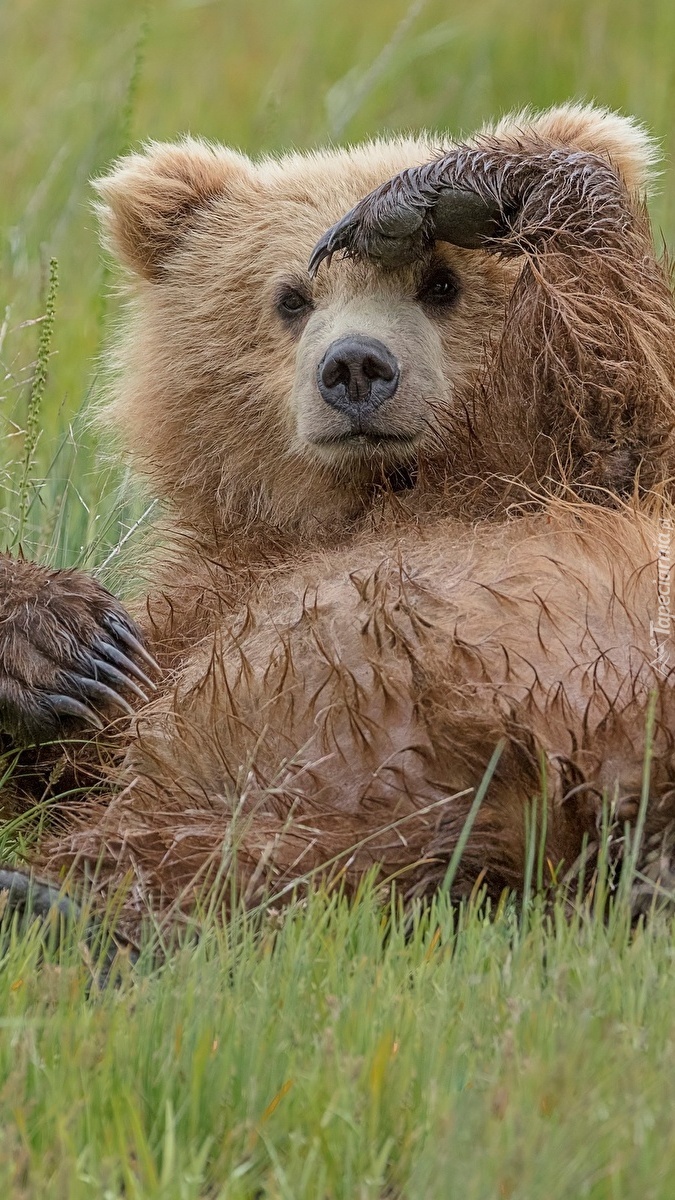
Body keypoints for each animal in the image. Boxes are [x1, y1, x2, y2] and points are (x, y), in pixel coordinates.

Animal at [7, 105, 672, 936]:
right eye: (291, 297)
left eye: (441, 284)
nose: (356, 367)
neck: (371, 495)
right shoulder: (201, 604)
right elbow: (67, 752)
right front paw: (64, 639)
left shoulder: (579, 475)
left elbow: (617, 381)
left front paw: (439, 192)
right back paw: (48, 899)